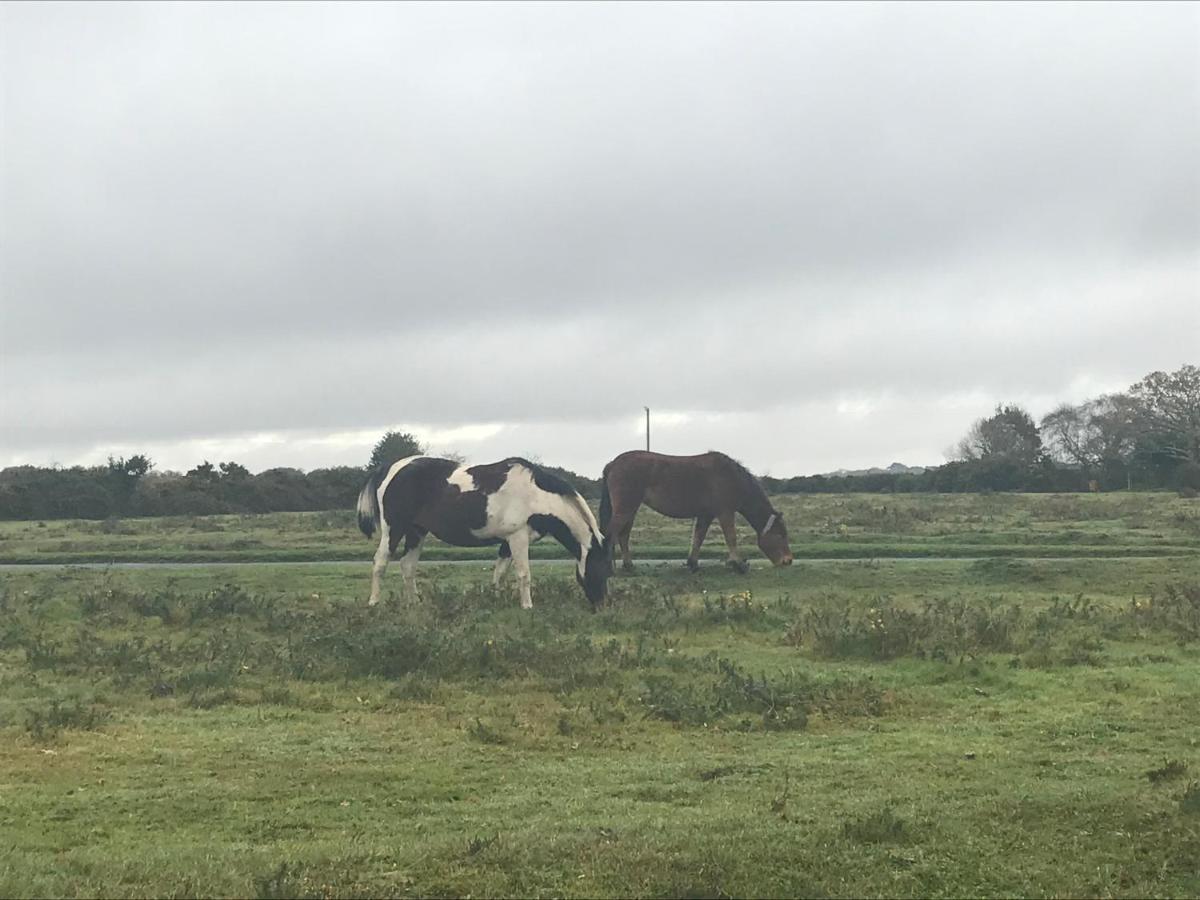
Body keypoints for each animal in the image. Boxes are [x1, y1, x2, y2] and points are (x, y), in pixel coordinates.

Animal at [350, 458, 604, 614]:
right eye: (600, 569)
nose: (601, 605)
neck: (535, 496)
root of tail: (389, 469)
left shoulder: (507, 542)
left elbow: (499, 573)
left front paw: (497, 599)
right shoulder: (518, 538)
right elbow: (523, 574)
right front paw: (527, 606)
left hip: (416, 531)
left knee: (407, 566)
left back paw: (414, 603)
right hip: (394, 529)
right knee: (380, 563)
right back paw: (374, 602)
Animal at [597, 453, 787, 573]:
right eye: (780, 535)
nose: (788, 560)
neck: (731, 477)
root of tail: (613, 464)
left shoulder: (706, 515)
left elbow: (698, 538)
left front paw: (693, 564)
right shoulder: (725, 512)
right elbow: (731, 537)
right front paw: (739, 565)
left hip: (630, 509)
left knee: (623, 535)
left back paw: (628, 565)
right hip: (626, 508)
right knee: (612, 533)